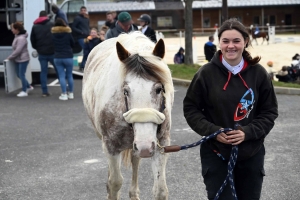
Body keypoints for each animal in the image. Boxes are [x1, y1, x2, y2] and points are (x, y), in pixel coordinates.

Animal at [82, 32, 175, 199]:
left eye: (159, 89)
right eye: (125, 91)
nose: (145, 145)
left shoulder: (160, 144)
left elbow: (160, 190)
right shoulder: (111, 146)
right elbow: (115, 183)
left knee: (135, 160)